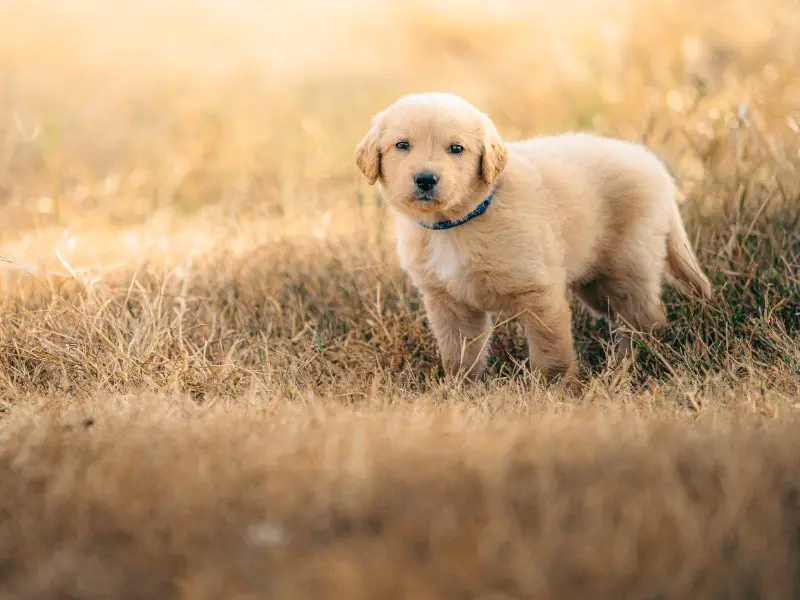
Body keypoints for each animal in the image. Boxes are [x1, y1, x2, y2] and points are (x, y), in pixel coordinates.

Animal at [354, 94, 708, 384]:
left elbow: (550, 348)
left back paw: (638, 363)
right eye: (402, 145)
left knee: (645, 320)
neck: (455, 224)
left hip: (630, 268)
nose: (426, 179)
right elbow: (458, 353)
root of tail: (654, 166)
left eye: (456, 149)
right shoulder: (448, 302)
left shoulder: (538, 291)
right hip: (596, 283)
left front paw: (554, 390)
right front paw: (461, 389)